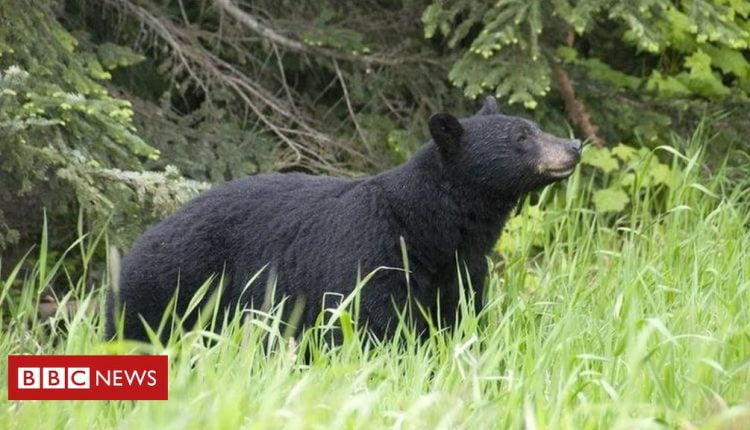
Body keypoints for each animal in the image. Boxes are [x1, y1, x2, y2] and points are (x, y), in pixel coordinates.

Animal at [105, 96, 581, 343]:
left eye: (533, 126)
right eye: (521, 137)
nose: (575, 145)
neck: (430, 229)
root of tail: (140, 240)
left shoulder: (460, 269)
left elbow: (458, 317)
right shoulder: (371, 252)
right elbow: (371, 322)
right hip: (173, 286)